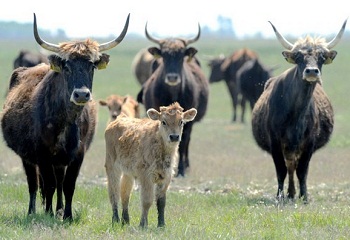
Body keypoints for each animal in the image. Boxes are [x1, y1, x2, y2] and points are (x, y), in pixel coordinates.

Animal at [0, 12, 130, 219]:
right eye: (67, 66)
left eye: (92, 66)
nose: (81, 94)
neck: (67, 120)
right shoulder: (43, 154)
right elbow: (48, 185)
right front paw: (47, 213)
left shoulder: (78, 153)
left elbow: (68, 185)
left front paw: (67, 215)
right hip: (27, 158)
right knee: (34, 184)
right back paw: (32, 211)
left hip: (59, 160)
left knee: (59, 182)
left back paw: (59, 209)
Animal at [136, 23, 208, 176]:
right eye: (164, 56)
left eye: (181, 56)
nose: (172, 77)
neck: (173, 93)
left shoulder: (187, 122)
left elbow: (183, 143)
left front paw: (180, 169)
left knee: (187, 142)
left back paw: (186, 165)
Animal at [252, 19, 348, 202]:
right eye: (298, 57)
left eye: (321, 57)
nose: (311, 71)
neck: (295, 114)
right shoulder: (275, 142)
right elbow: (281, 170)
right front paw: (280, 195)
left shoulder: (309, 143)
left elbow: (302, 171)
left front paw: (304, 196)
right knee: (289, 166)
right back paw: (289, 194)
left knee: (294, 166)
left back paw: (293, 193)